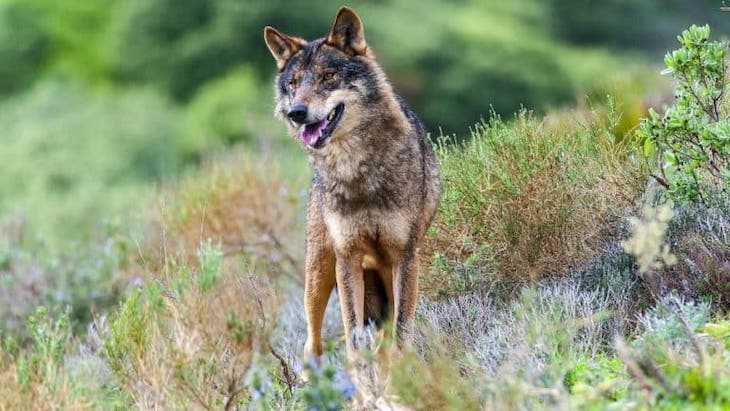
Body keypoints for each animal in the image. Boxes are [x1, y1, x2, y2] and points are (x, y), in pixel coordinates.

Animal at [264, 6, 440, 375]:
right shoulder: (348, 256)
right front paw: (361, 383)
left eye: (328, 77)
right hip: (319, 274)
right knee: (312, 344)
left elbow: (400, 339)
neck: (357, 171)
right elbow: (353, 340)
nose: (297, 113)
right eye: (293, 84)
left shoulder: (406, 257)